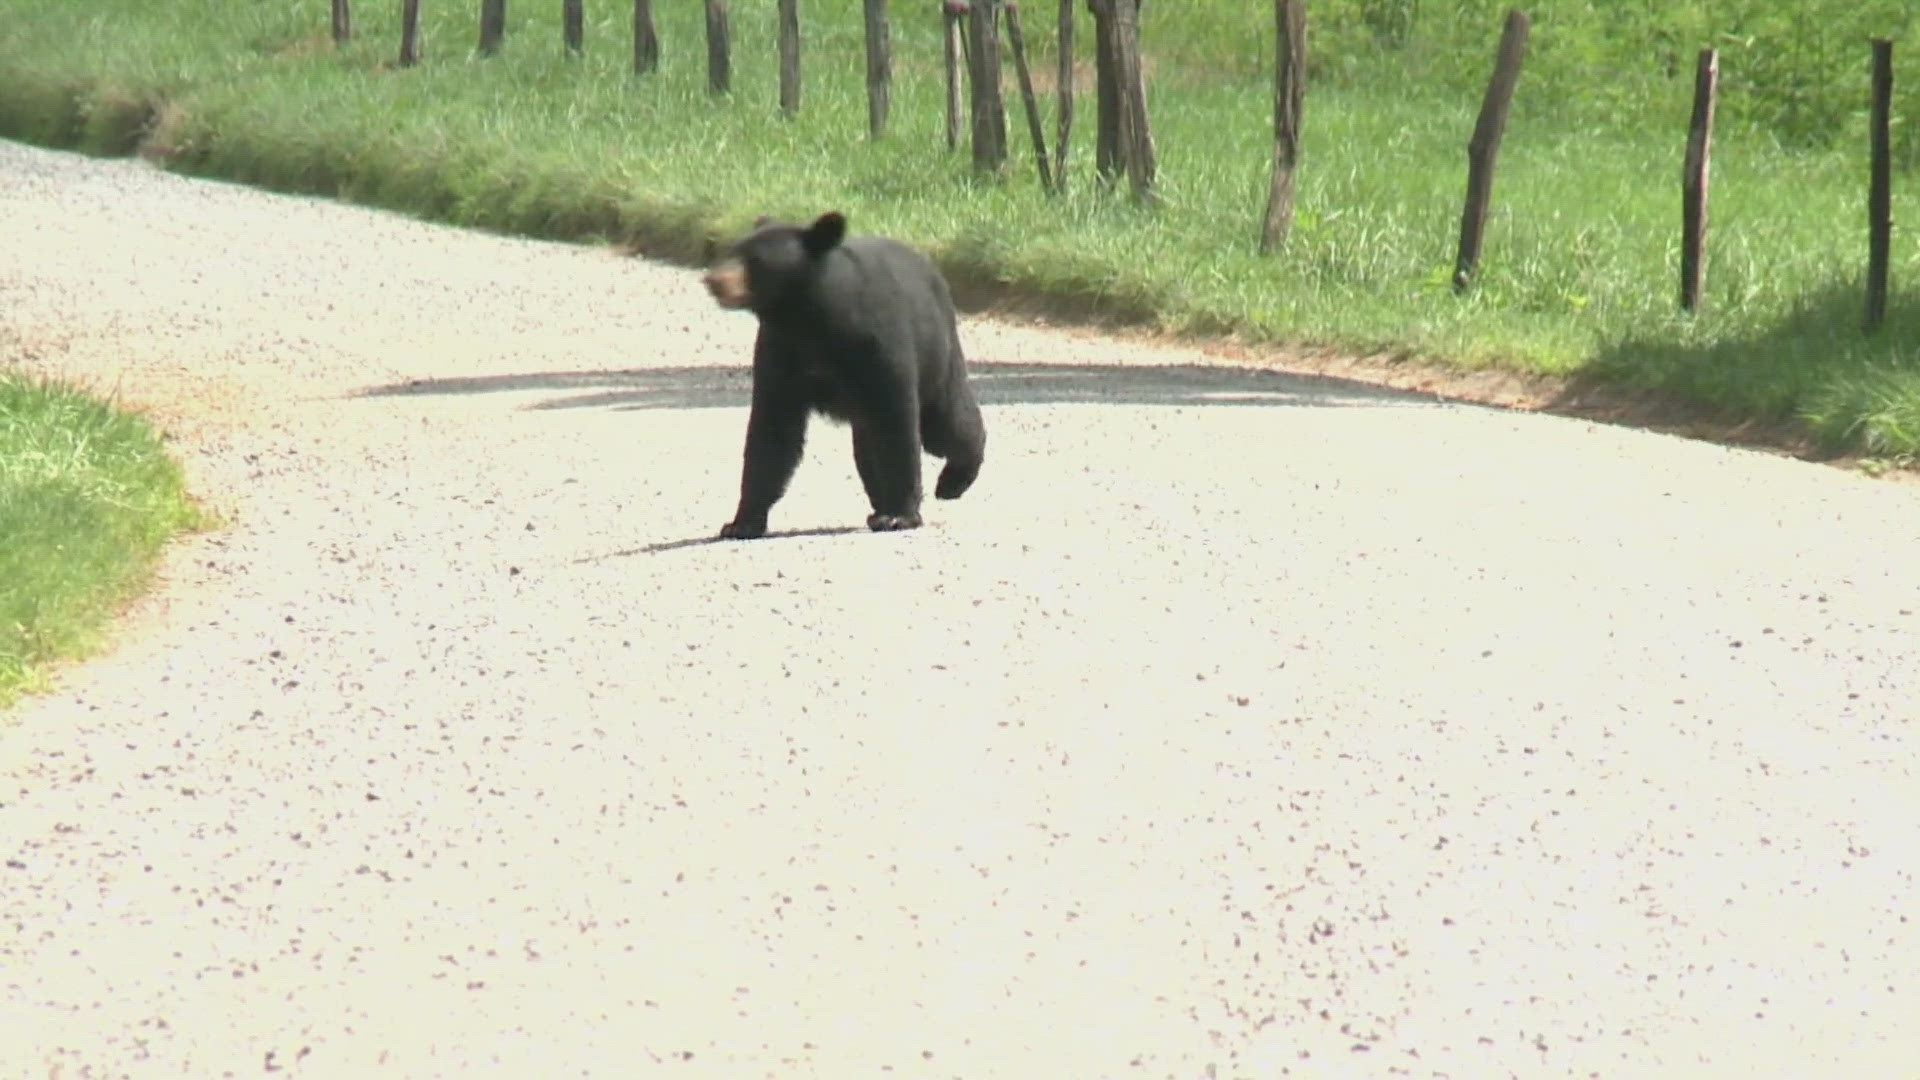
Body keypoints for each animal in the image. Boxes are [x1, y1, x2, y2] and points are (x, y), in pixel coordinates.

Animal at [702, 208, 983, 534]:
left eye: (755, 260)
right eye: (732, 250)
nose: (713, 280)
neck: (811, 319)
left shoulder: (878, 340)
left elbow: (896, 420)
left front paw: (901, 515)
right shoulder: (780, 348)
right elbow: (772, 429)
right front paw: (741, 523)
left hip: (937, 351)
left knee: (946, 423)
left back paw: (952, 481)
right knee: (868, 448)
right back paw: (879, 509)